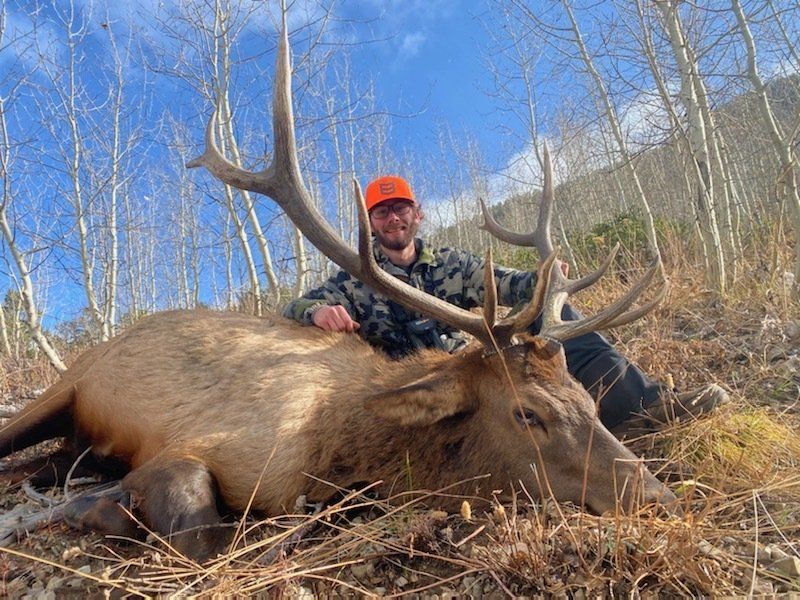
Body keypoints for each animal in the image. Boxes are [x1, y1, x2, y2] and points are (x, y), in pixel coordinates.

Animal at [0, 10, 676, 561]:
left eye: (588, 401)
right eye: (527, 412)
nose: (654, 492)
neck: (338, 444)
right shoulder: (200, 449)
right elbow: (204, 534)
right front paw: (104, 509)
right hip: (64, 388)